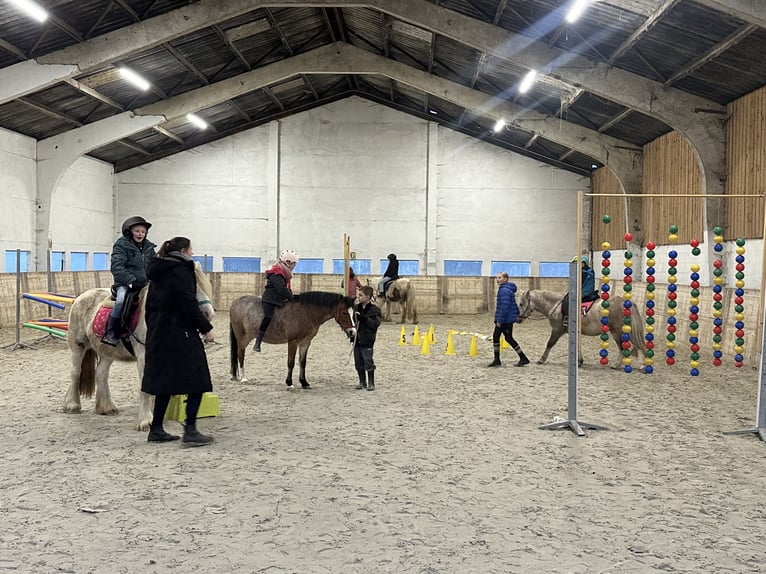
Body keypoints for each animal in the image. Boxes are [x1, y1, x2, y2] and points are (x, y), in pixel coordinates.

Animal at [60, 266, 213, 432]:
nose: (208, 313)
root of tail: (80, 297)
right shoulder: (143, 357)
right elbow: (145, 386)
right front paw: (146, 421)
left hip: (107, 352)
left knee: (101, 374)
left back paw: (106, 408)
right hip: (78, 347)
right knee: (75, 372)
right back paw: (72, 405)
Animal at [230, 292, 358, 392]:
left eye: (354, 313)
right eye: (344, 313)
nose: (353, 332)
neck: (305, 313)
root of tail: (235, 302)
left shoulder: (305, 342)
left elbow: (302, 362)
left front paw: (304, 382)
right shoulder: (293, 342)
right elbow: (290, 363)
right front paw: (289, 383)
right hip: (243, 338)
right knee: (240, 355)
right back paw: (244, 378)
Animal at [516, 290, 648, 366]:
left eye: (521, 304)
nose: (518, 319)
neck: (556, 305)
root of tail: (625, 302)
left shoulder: (557, 330)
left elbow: (550, 343)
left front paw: (541, 359)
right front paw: (579, 361)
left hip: (617, 331)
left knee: (623, 347)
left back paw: (616, 364)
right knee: (636, 345)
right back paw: (642, 364)